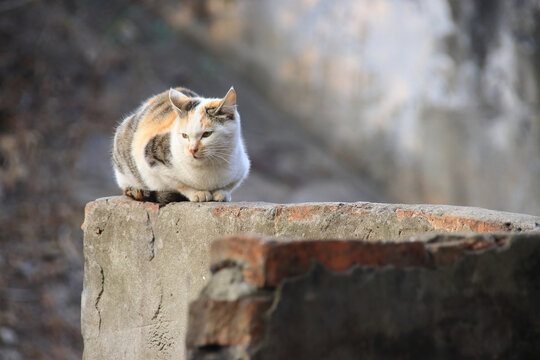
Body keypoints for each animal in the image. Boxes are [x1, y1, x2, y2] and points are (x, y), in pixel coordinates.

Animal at [113, 85, 251, 201]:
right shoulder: (151, 160)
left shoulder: (243, 167)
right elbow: (179, 184)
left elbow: (230, 185)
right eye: (185, 135)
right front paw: (197, 193)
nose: (192, 149)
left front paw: (222, 193)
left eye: (206, 134)